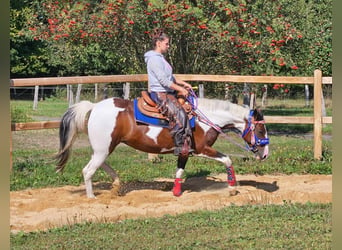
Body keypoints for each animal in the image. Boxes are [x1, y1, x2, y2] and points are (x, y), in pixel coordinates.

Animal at [55, 96, 270, 198]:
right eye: (260, 130)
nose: (265, 154)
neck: (206, 118)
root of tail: (94, 107)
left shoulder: (185, 151)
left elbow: (179, 171)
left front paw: (176, 192)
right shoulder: (202, 149)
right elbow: (227, 159)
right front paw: (232, 189)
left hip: (104, 148)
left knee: (99, 165)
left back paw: (116, 183)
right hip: (103, 148)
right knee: (88, 170)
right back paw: (92, 197)